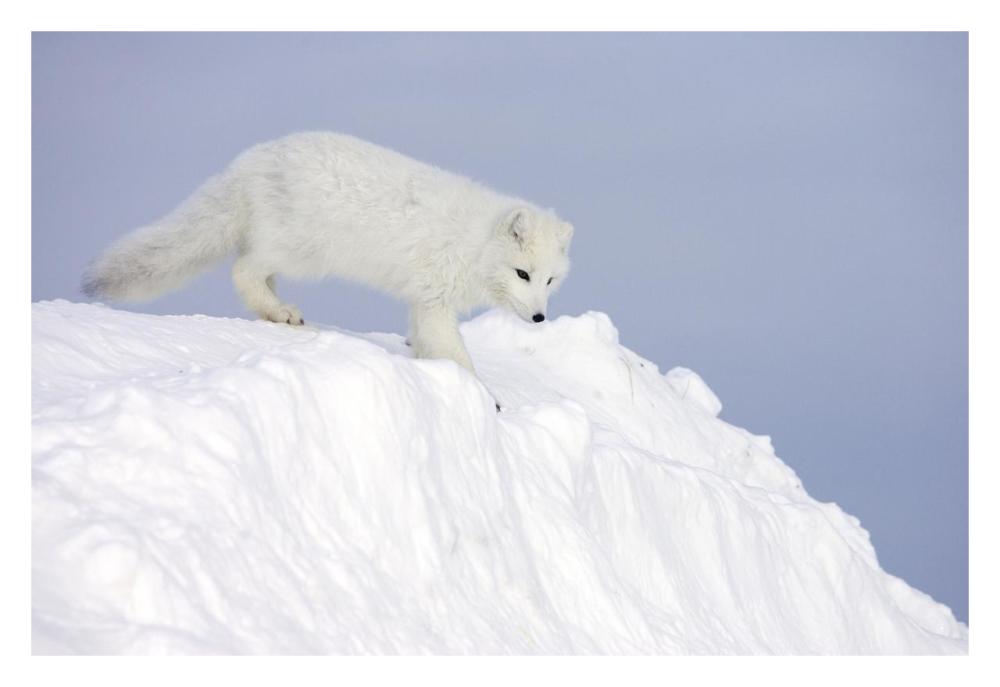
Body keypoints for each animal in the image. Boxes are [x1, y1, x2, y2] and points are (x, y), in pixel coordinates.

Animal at [82, 132, 573, 400]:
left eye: (549, 280)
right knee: (243, 269)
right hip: (302, 252)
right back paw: (282, 312)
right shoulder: (435, 299)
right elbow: (457, 355)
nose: (539, 317)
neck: (474, 244)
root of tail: (255, 157)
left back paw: (278, 313)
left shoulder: (421, 299)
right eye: (522, 274)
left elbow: (423, 341)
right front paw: (485, 398)